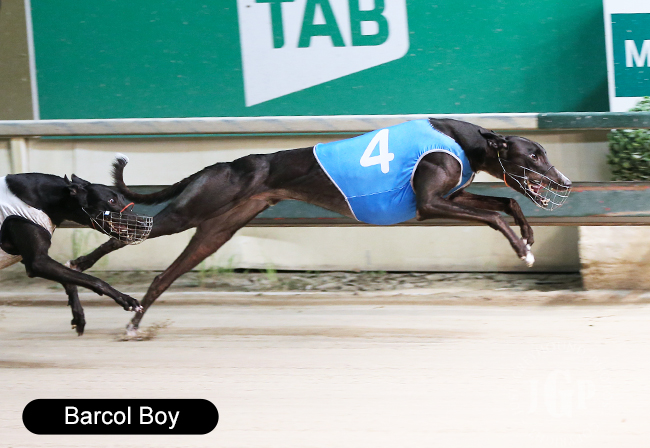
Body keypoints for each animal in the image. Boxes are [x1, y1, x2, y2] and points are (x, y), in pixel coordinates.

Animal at [0, 172, 152, 335]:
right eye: (111, 200)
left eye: (123, 198)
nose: (144, 224)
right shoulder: (38, 262)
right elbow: (94, 280)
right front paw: (126, 299)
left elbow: (70, 280)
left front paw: (78, 316)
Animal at [67, 118, 572, 334]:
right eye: (534, 154)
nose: (565, 181)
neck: (465, 140)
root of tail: (223, 165)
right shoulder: (429, 204)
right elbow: (493, 214)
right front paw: (522, 248)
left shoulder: (451, 197)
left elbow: (507, 201)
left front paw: (528, 236)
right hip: (192, 213)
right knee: (128, 229)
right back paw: (82, 265)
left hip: (216, 231)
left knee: (162, 273)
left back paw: (134, 317)